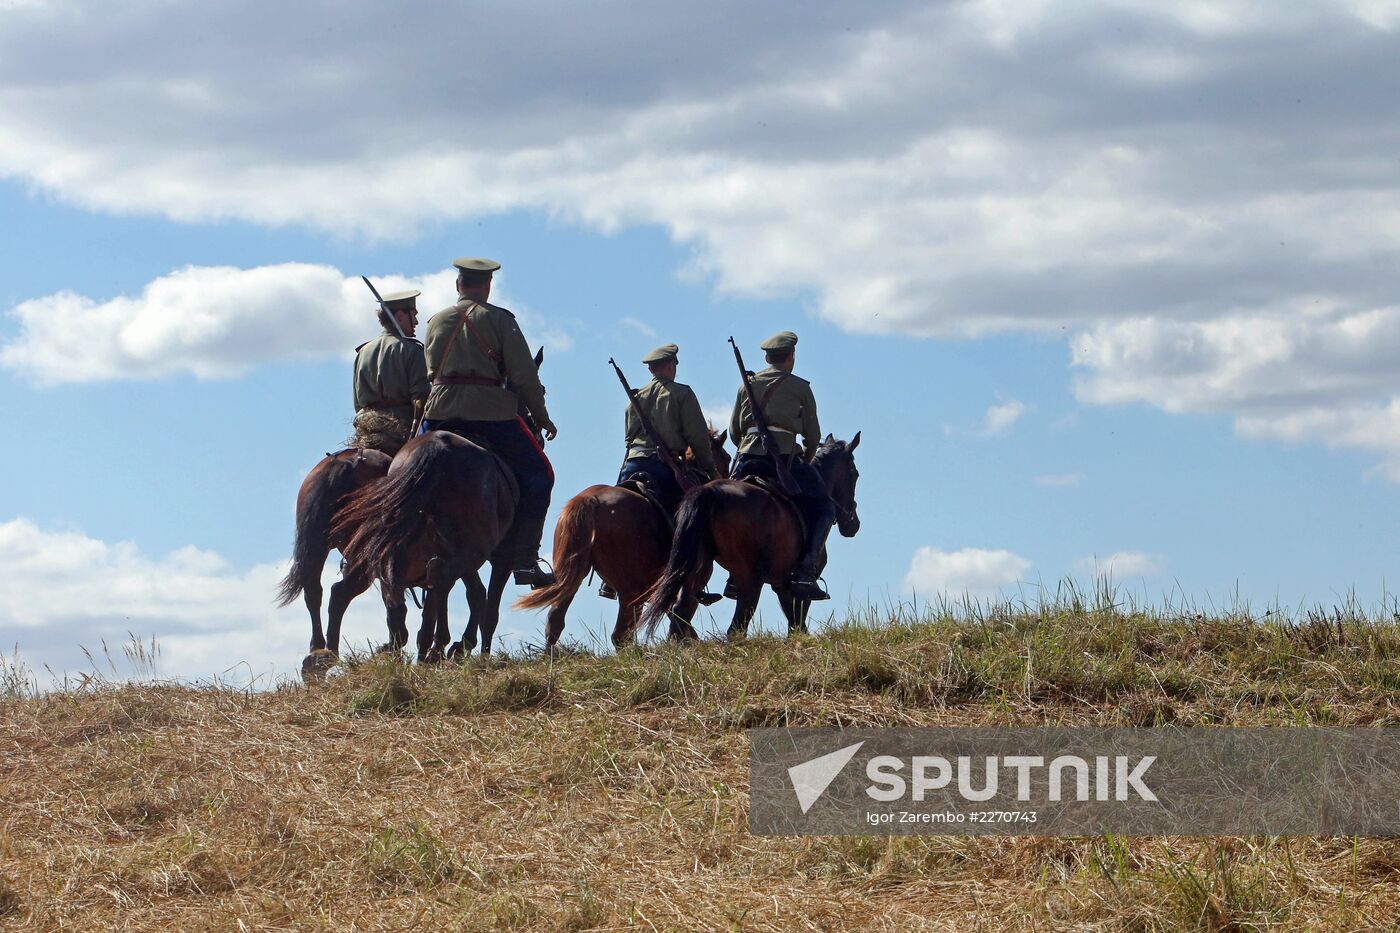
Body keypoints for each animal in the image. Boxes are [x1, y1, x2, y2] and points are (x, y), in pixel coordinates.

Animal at [515, 428, 733, 647]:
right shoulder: (694, 576)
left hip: (571, 578)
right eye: (726, 457)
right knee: (620, 635)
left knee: (555, 622)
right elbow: (682, 610)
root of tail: (589, 500)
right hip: (632, 592)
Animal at [644, 431, 862, 638]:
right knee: (736, 627)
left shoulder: (781, 584)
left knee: (682, 611)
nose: (853, 524)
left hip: (700, 569)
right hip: (750, 580)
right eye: (855, 473)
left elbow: (795, 625)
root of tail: (709, 493)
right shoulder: (799, 589)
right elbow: (798, 620)